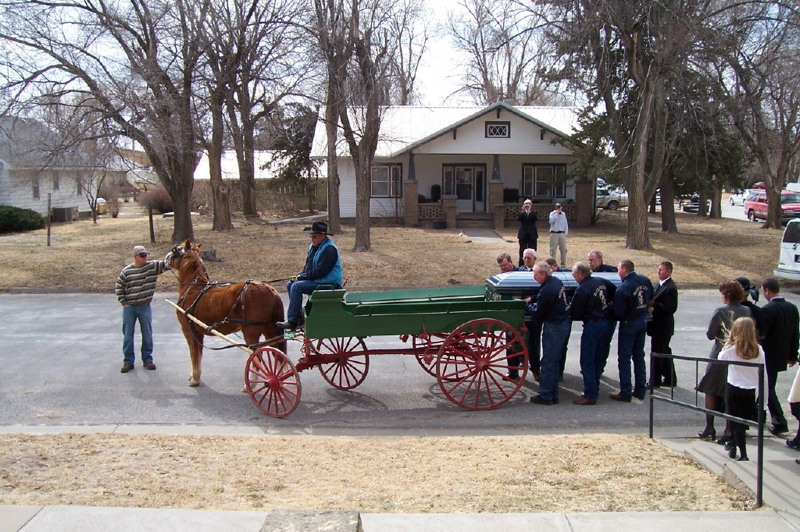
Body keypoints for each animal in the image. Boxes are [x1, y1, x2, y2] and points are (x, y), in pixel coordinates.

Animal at [167, 240, 286, 386]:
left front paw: (195, 378)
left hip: (251, 332)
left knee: (257, 357)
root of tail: (271, 291)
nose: (166, 258)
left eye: (176, 250)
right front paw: (194, 376)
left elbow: (194, 354)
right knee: (277, 354)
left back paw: (251, 384)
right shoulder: (199, 332)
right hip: (270, 331)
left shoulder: (189, 330)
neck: (193, 289)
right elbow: (199, 354)